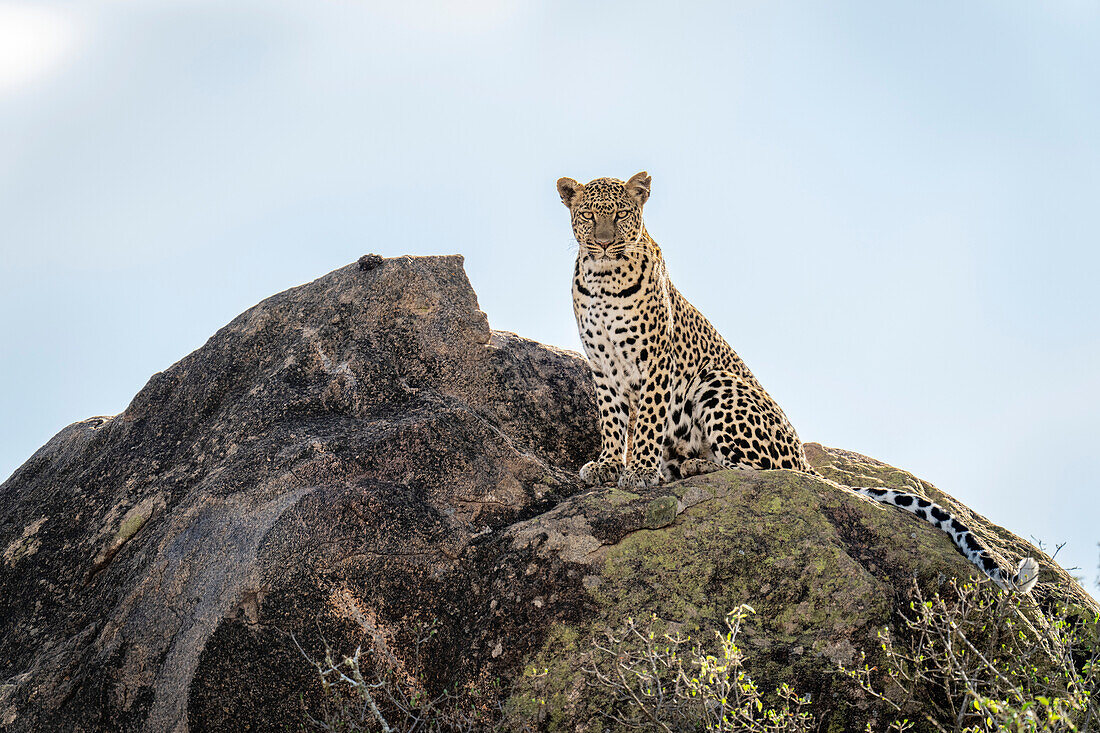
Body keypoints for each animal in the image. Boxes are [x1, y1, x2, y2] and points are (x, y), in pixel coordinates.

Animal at [558, 168, 1038, 589]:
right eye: (589, 215)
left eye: (622, 214)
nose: (604, 243)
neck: (603, 281)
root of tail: (806, 460)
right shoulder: (602, 366)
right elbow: (611, 420)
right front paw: (607, 465)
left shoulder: (658, 362)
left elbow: (647, 423)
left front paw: (638, 472)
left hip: (718, 384)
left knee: (760, 471)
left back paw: (695, 465)